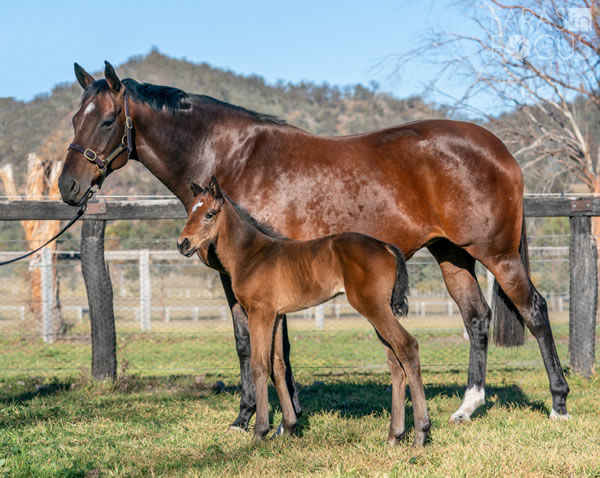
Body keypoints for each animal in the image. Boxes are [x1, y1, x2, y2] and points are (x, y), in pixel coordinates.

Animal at [177, 176, 430, 445]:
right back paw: (394, 435)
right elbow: (278, 364)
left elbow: (260, 365)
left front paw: (260, 431)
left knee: (407, 346)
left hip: (373, 308)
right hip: (377, 310)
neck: (252, 255)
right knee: (394, 360)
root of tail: (386, 246)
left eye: (210, 214)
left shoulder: (260, 313)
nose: (183, 244)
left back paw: (421, 433)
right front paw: (288, 427)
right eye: (190, 212)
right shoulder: (277, 315)